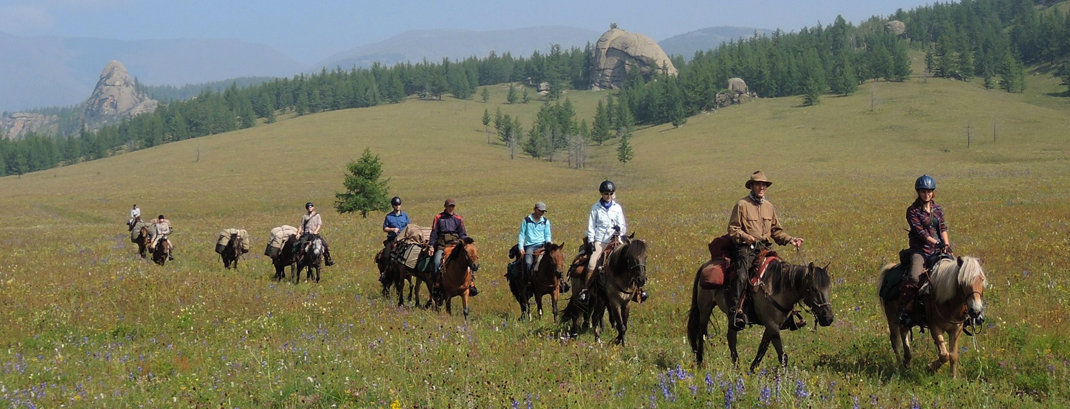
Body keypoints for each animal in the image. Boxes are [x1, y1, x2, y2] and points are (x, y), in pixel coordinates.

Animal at [687, 259, 834, 371]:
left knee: (731, 338)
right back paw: (699, 362)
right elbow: (778, 354)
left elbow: (765, 350)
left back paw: (736, 367)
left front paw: (752, 371)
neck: (778, 288)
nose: (828, 318)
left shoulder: (772, 327)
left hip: (731, 317)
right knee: (701, 333)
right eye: (814, 288)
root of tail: (706, 264)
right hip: (705, 308)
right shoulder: (772, 326)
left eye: (829, 288)